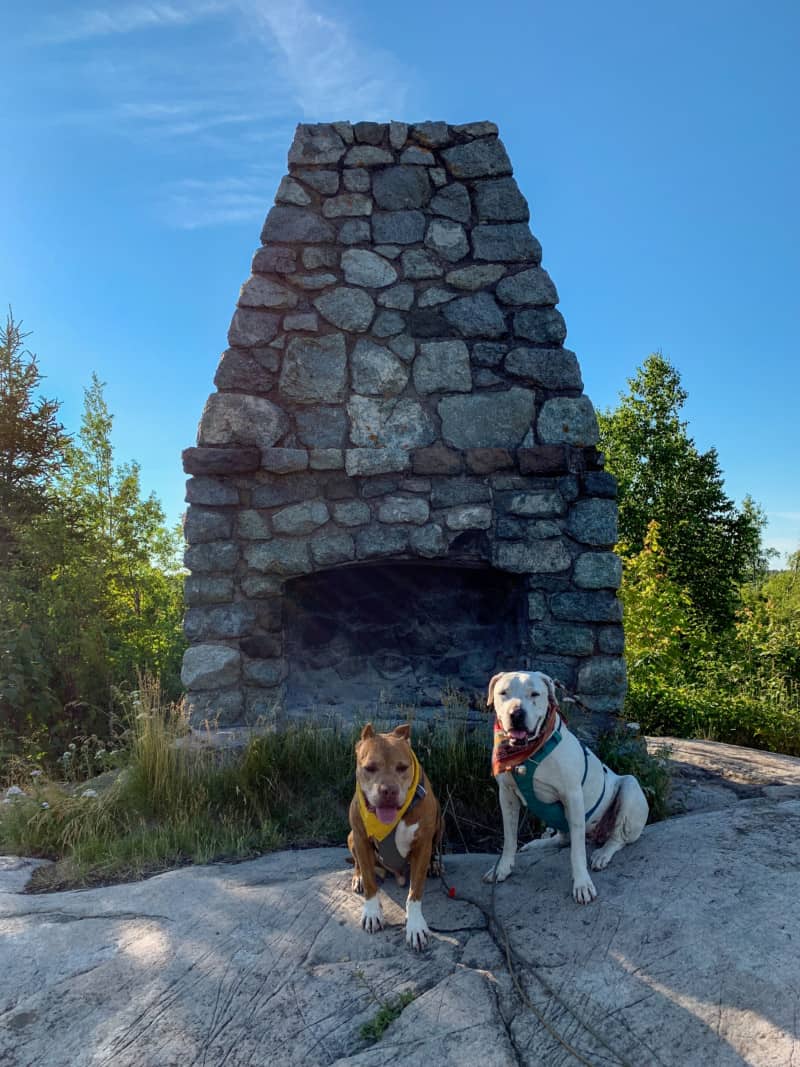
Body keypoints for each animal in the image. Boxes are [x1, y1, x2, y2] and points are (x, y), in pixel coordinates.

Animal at [345, 725, 441, 951]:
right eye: (370, 767)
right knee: (358, 863)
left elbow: (415, 890)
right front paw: (372, 913)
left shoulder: (422, 845)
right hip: (351, 837)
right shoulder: (361, 838)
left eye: (403, 767)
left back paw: (434, 865)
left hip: (440, 821)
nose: (388, 790)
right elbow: (370, 881)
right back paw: (358, 877)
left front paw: (415, 926)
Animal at [482, 670, 652, 904]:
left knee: (617, 838)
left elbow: (577, 852)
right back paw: (539, 844)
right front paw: (502, 867)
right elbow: (509, 836)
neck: (530, 753)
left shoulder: (573, 797)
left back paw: (603, 853)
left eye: (535, 694)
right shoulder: (506, 795)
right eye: (503, 693)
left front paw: (582, 884)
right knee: (563, 838)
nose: (516, 714)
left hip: (630, 787)